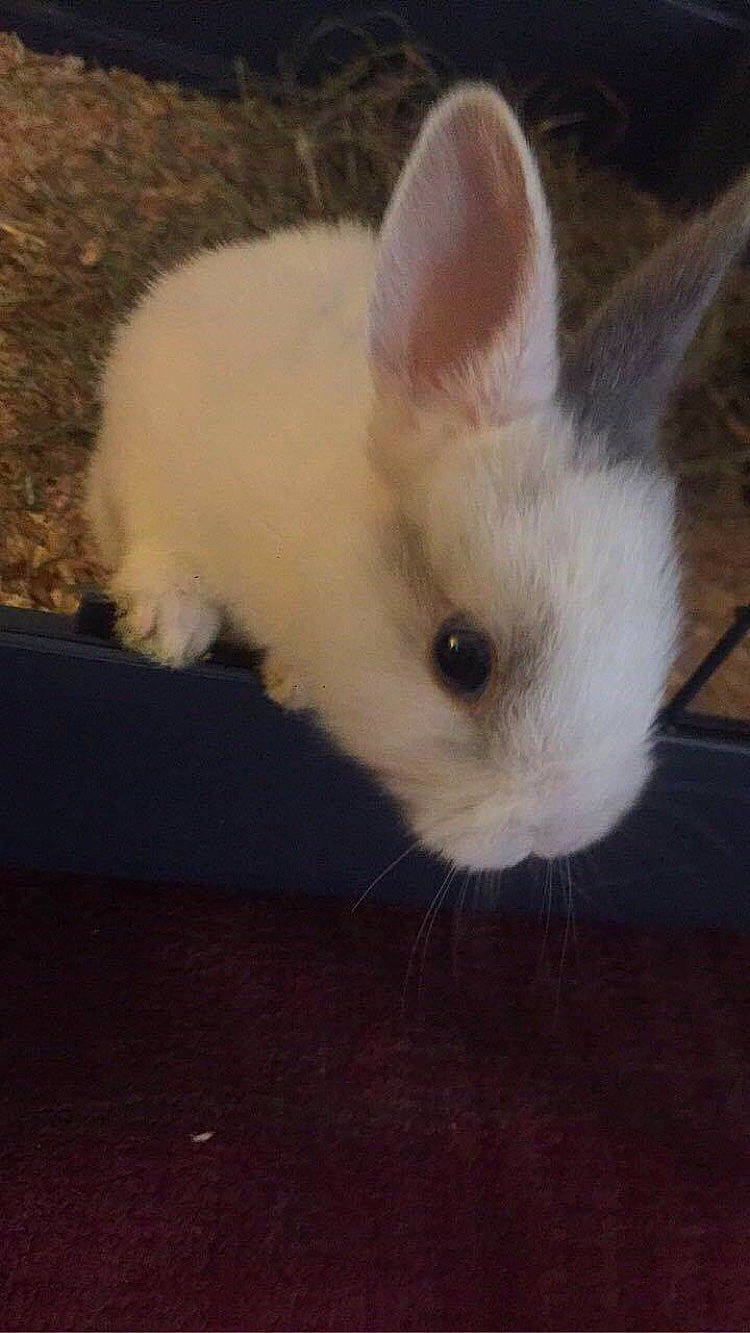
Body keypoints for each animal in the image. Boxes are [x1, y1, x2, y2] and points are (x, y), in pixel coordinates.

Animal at [85, 83, 750, 872]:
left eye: (662, 648)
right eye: (461, 658)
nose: (561, 831)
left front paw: (291, 682)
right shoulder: (165, 469)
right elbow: (166, 551)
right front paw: (167, 632)